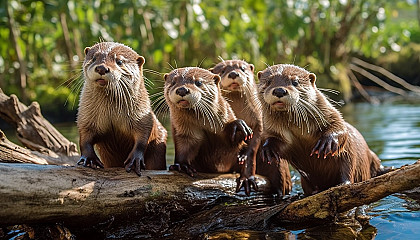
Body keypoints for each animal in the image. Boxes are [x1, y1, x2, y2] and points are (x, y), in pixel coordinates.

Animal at [76, 42, 167, 175]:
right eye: (94, 58)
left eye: (119, 61)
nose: (101, 68)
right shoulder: (86, 117)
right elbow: (85, 137)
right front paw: (89, 159)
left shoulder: (142, 116)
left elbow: (142, 137)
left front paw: (135, 160)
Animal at [210, 59, 292, 196]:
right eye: (222, 70)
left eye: (243, 68)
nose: (233, 73)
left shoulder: (258, 121)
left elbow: (253, 148)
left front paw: (247, 178)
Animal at [256, 63, 384, 195]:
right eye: (269, 81)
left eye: (295, 82)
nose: (279, 90)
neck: (300, 131)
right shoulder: (275, 132)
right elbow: (275, 140)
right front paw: (268, 149)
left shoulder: (329, 113)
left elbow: (340, 126)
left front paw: (327, 142)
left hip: (355, 159)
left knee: (348, 170)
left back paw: (343, 183)